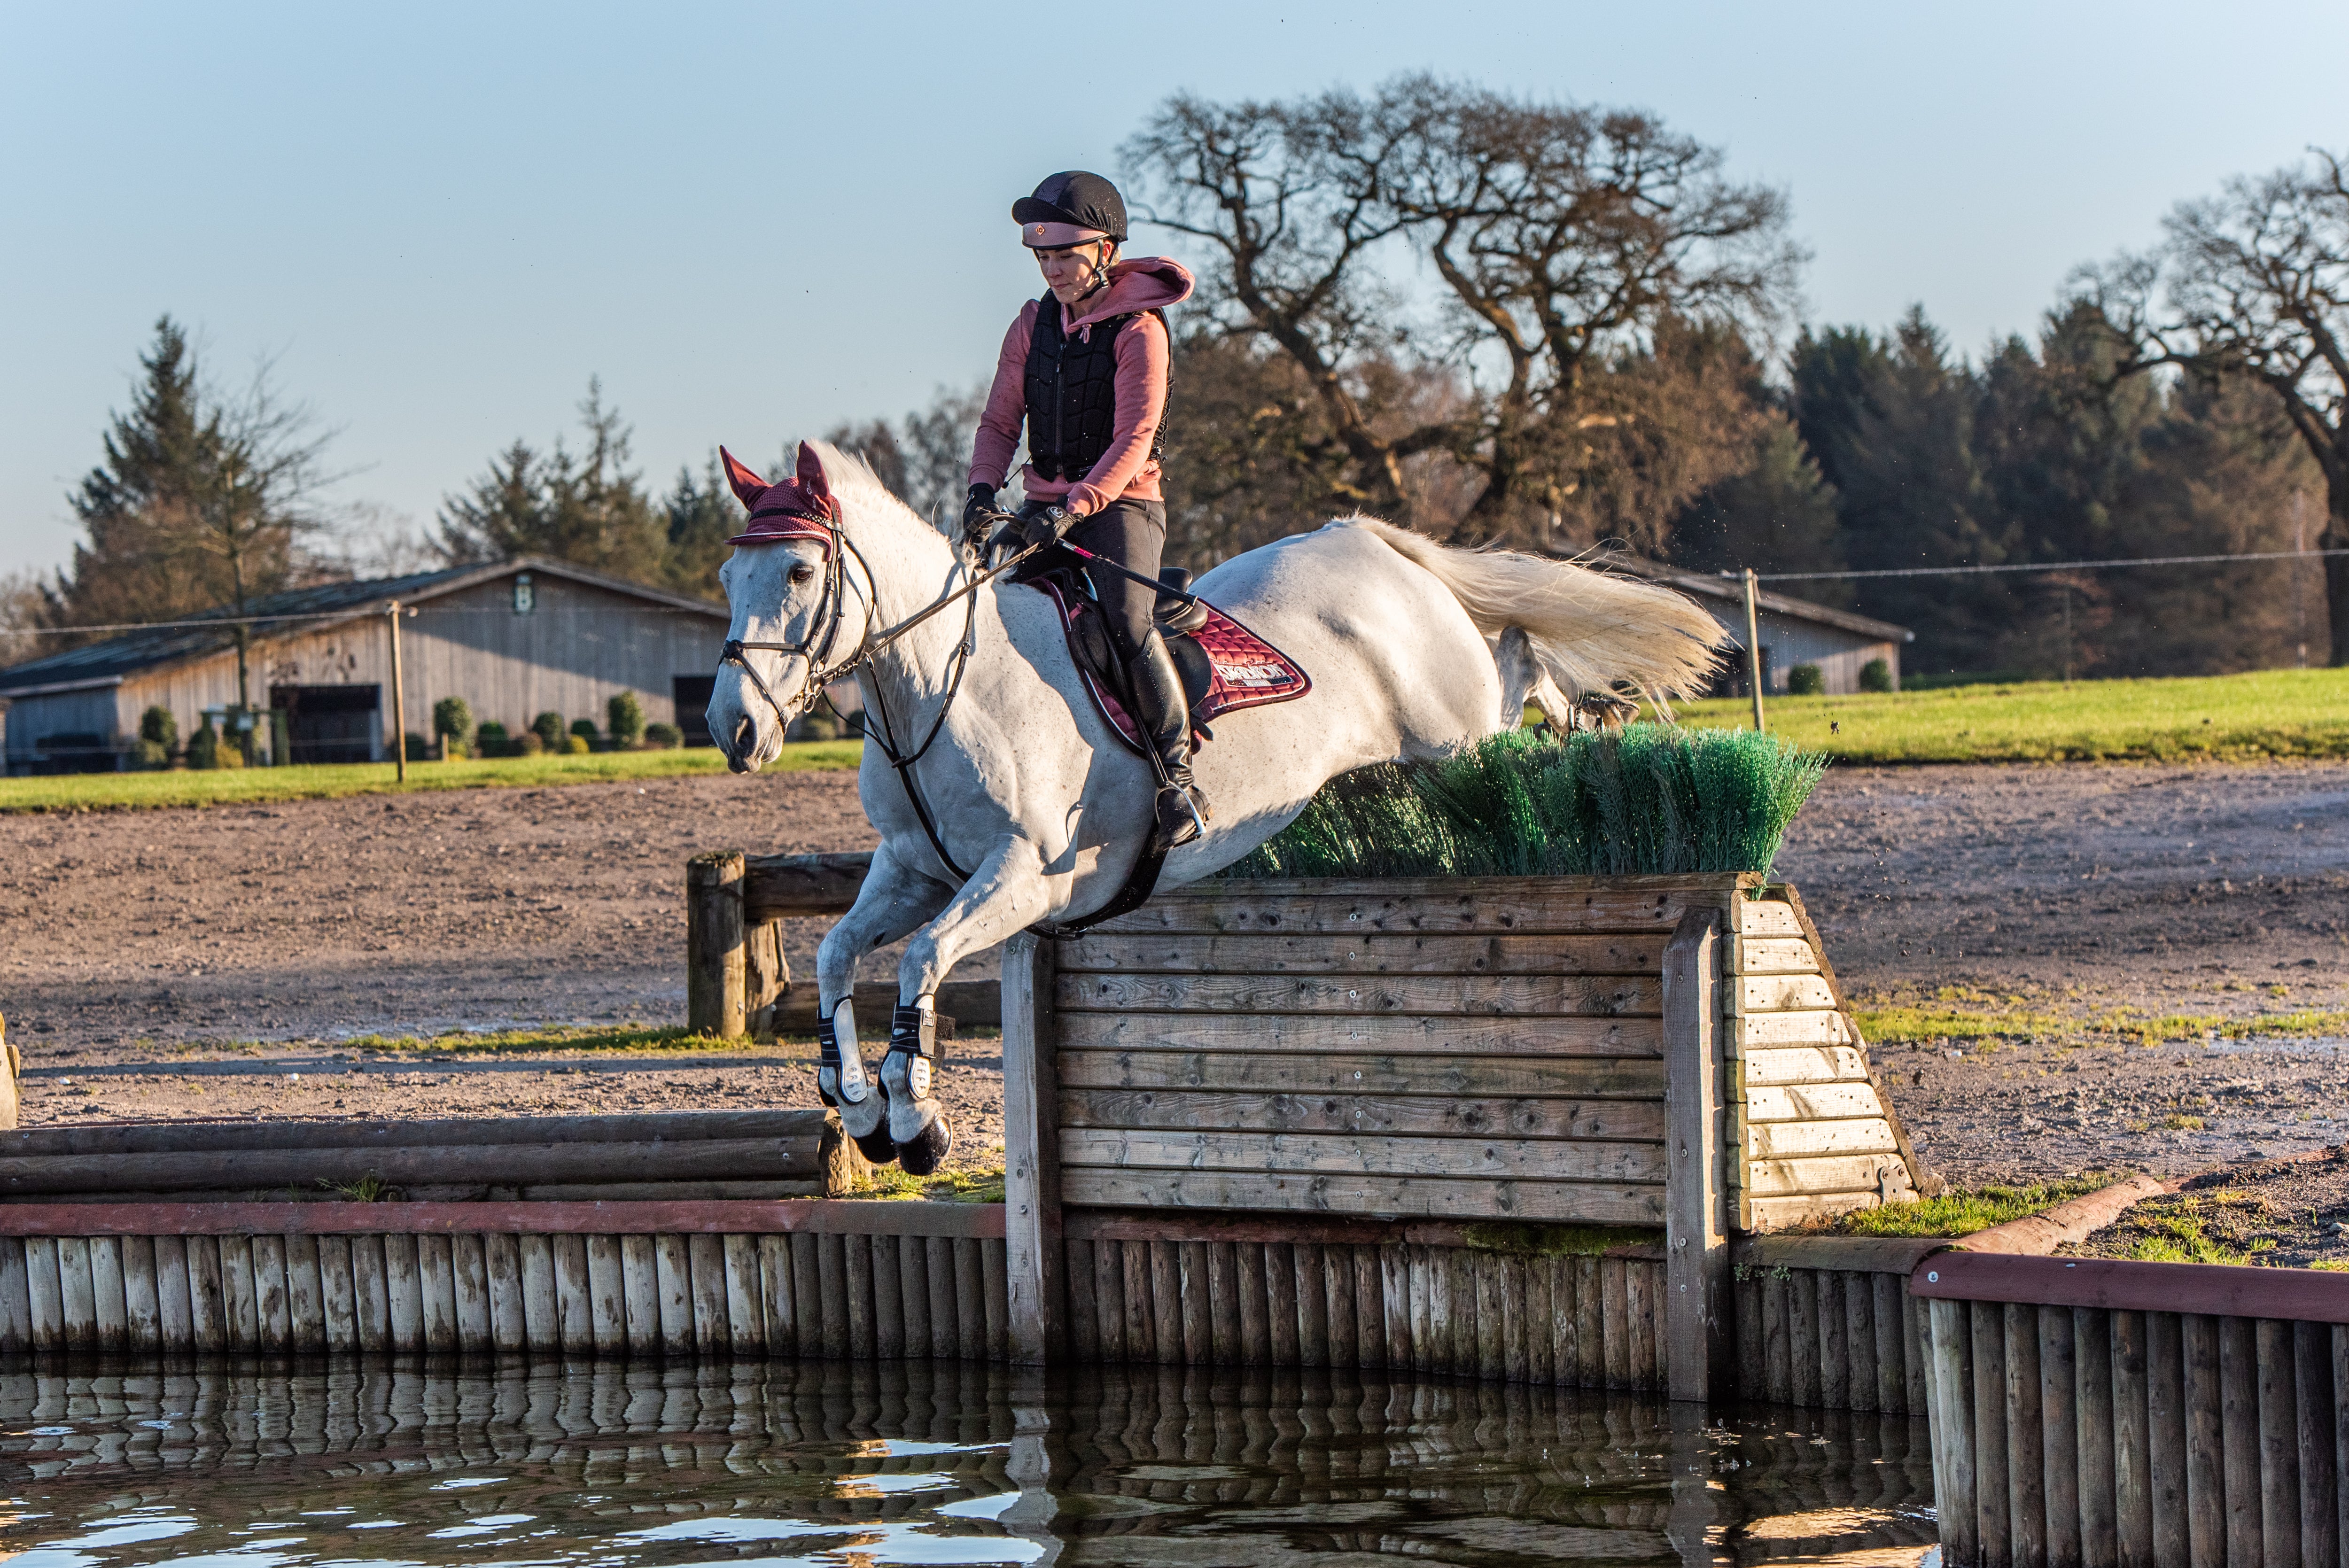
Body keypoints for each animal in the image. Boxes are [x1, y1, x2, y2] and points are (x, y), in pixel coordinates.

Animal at [705, 441, 1719, 1173]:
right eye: (726, 578)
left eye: (798, 575)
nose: (733, 726)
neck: (939, 689)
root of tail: (1368, 537)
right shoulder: (912, 867)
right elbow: (838, 953)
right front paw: (859, 1106)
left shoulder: (1031, 878)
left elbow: (919, 961)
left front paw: (915, 1118)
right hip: (1432, 751)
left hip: (1454, 732)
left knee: (1517, 680)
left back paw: (1587, 717)